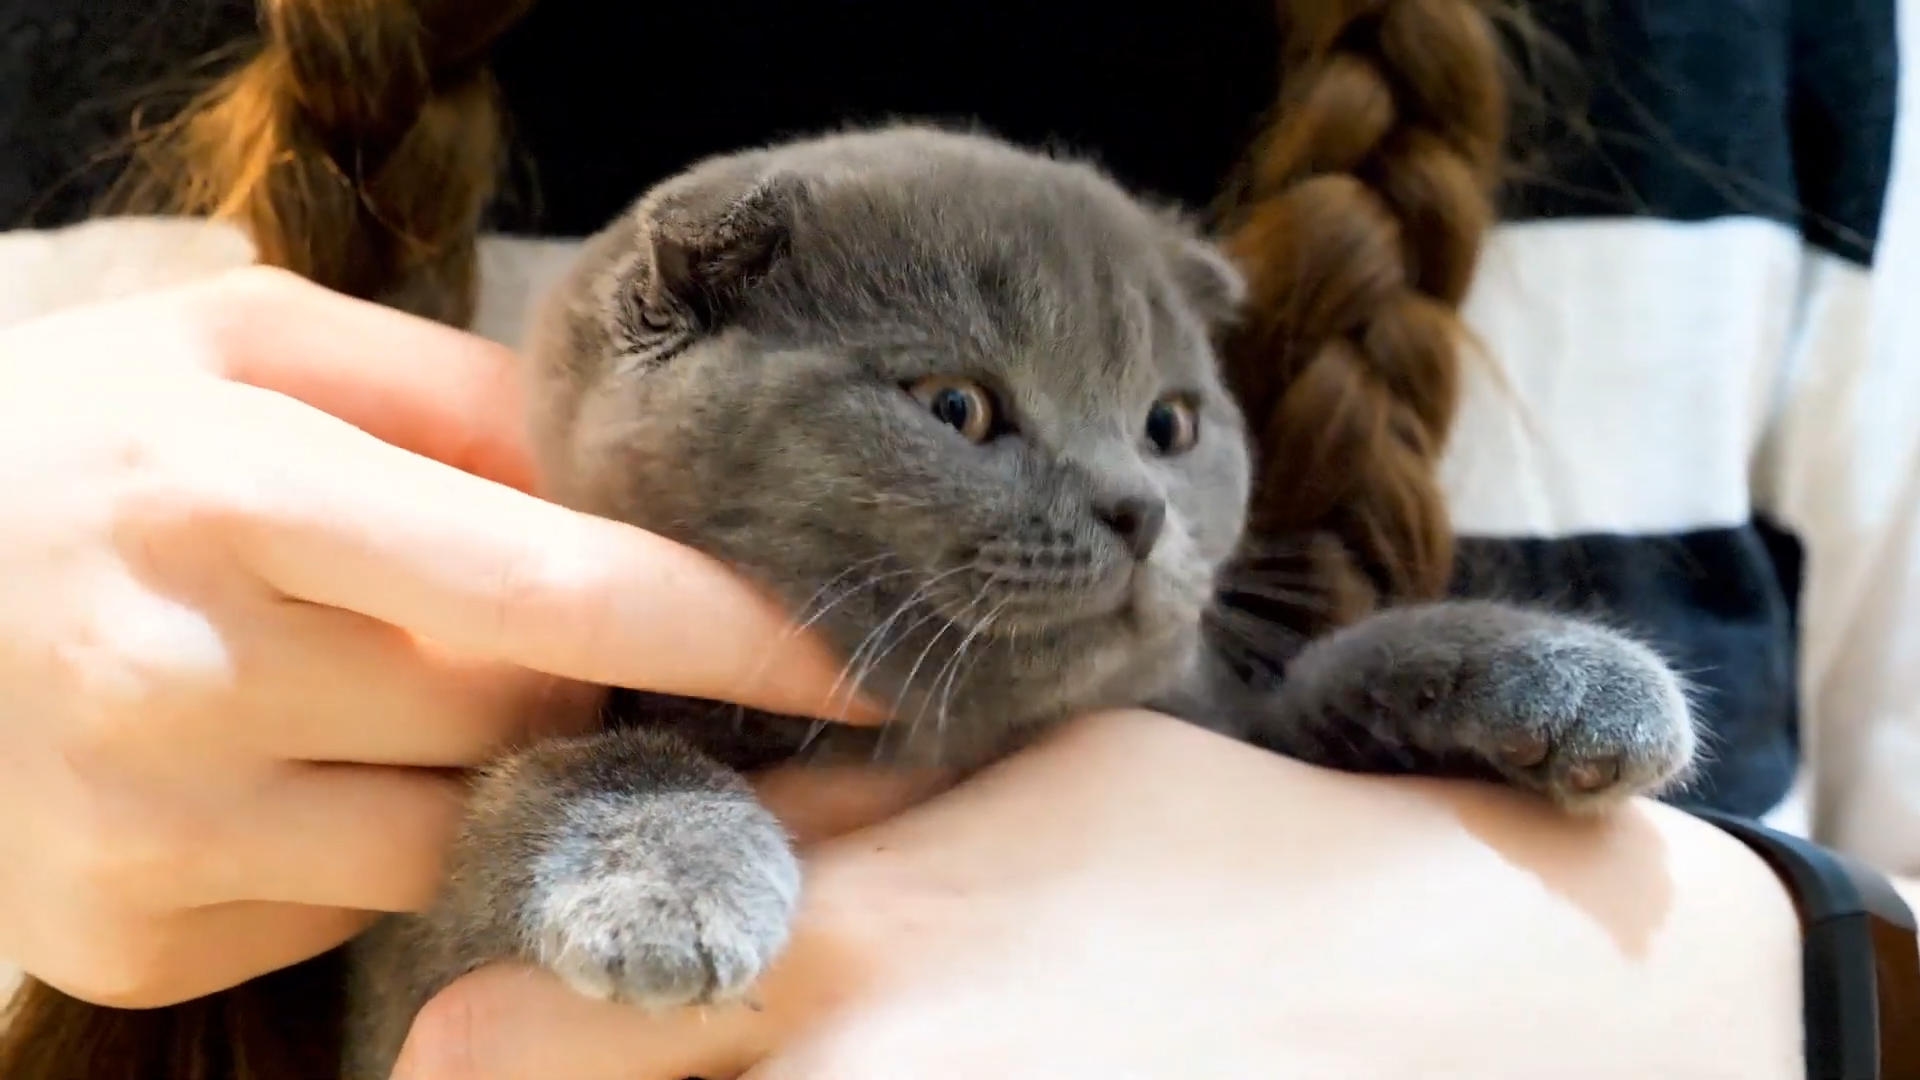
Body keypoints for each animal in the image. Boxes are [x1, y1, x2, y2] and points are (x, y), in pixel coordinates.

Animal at [341, 125, 1697, 1076]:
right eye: (958, 407)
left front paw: (1574, 682)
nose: (1137, 509)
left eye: (1170, 424)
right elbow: (559, 772)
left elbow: (1327, 672)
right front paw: (664, 879)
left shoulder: (1221, 712)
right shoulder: (409, 991)